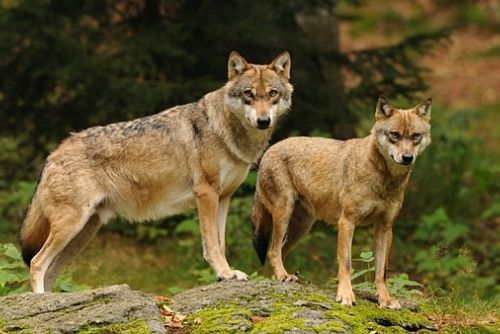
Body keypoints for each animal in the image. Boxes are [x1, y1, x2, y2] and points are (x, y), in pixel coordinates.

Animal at [19, 50, 292, 292]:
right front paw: (224, 273)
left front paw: (226, 275)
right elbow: (212, 245)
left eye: (273, 94)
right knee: (36, 263)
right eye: (248, 94)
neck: (226, 130)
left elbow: (220, 242)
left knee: (50, 271)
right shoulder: (205, 194)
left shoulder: (224, 197)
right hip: (71, 226)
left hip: (83, 233)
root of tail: (53, 153)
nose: (263, 121)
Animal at [252, 95, 432, 310]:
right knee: (272, 251)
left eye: (415, 136)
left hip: (302, 228)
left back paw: (285, 277)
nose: (407, 158)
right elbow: (346, 263)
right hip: (284, 214)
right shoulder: (347, 222)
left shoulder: (385, 227)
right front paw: (345, 296)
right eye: (394, 135)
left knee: (280, 250)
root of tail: (268, 150)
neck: (384, 179)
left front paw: (385, 300)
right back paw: (283, 276)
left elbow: (382, 272)